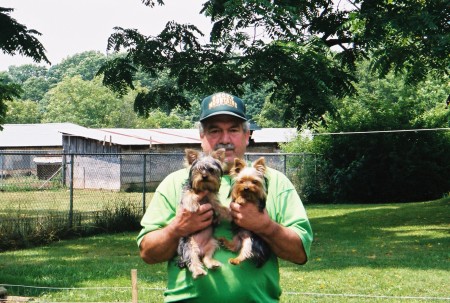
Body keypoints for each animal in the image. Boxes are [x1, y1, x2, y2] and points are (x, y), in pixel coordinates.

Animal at [177, 148, 230, 280]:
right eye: (199, 169)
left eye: (211, 170)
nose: (205, 176)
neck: (203, 188)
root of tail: (200, 250)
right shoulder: (186, 191)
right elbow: (189, 194)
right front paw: (193, 205)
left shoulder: (212, 198)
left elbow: (219, 207)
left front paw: (228, 212)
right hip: (188, 246)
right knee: (193, 261)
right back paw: (198, 271)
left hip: (212, 243)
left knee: (206, 258)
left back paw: (212, 264)